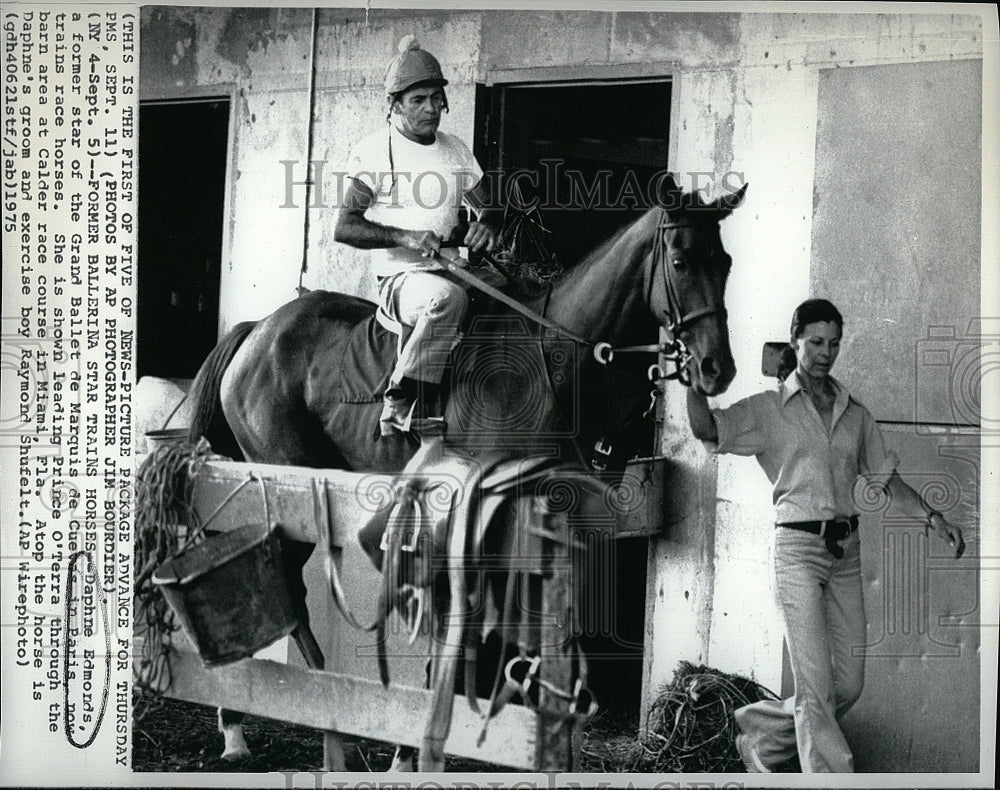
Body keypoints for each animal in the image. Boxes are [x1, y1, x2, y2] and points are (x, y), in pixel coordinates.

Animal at [188, 175, 748, 768]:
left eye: (726, 261)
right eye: (681, 261)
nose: (718, 368)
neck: (550, 362)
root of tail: (258, 330)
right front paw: (411, 749)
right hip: (285, 479)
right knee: (283, 585)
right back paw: (280, 714)